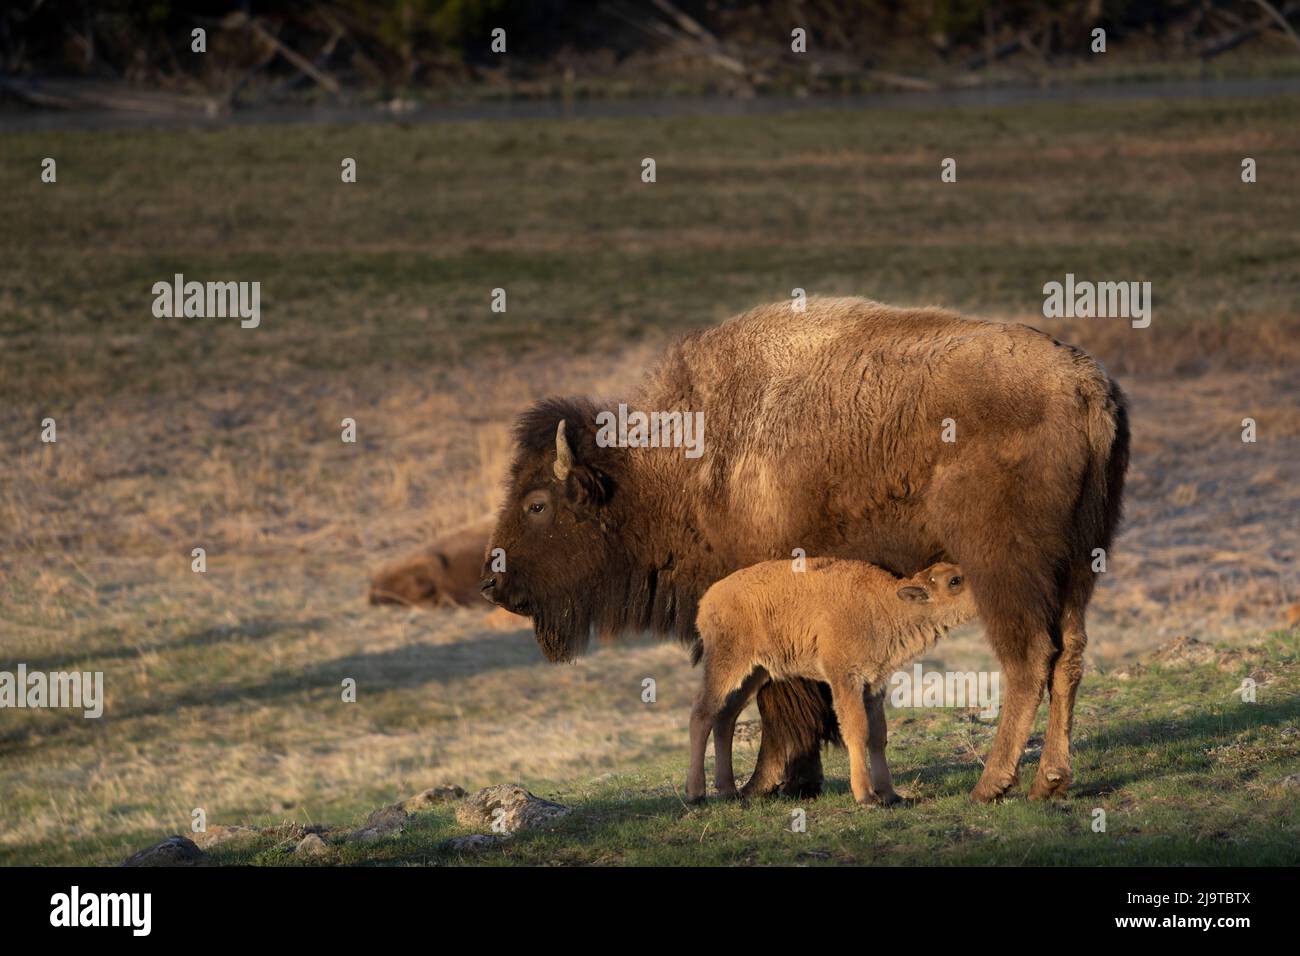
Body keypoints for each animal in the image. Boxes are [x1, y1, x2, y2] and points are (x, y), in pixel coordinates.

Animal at [691, 561, 977, 806]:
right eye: (954, 580)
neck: (885, 603)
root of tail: (707, 600)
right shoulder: (845, 680)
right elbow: (857, 730)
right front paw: (866, 796)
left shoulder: (873, 686)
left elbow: (878, 735)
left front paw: (890, 794)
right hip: (726, 665)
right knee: (702, 715)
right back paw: (696, 794)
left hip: (754, 675)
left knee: (724, 719)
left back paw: (728, 791)